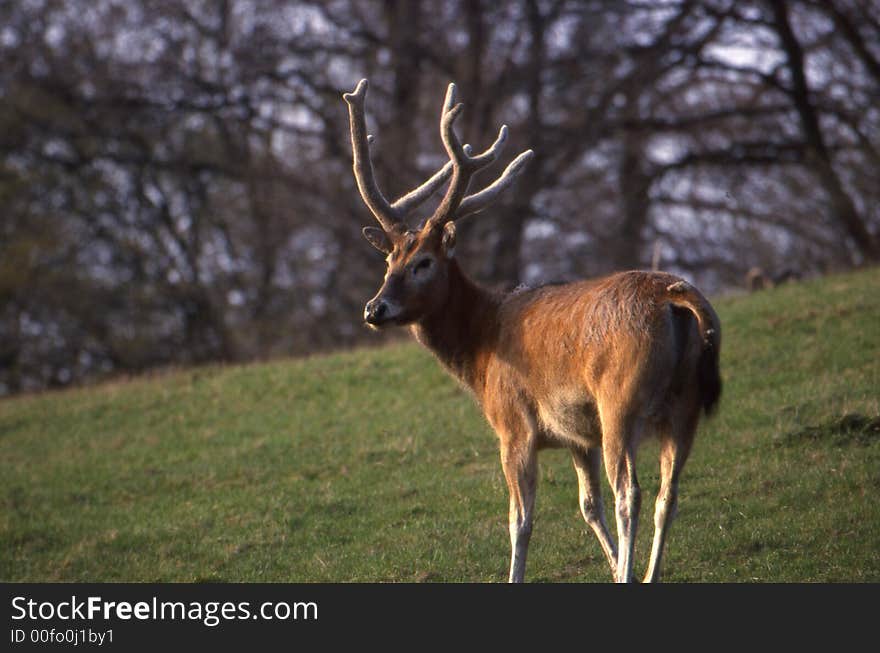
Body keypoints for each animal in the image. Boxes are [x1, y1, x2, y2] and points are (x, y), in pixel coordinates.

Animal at [344, 79, 720, 584]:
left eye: (423, 262)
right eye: (388, 260)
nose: (374, 308)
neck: (480, 353)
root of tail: (672, 299)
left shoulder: (513, 424)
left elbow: (519, 519)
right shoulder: (578, 436)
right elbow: (588, 505)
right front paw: (612, 565)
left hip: (621, 399)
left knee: (631, 494)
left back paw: (631, 572)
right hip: (686, 403)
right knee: (668, 495)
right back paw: (645, 574)